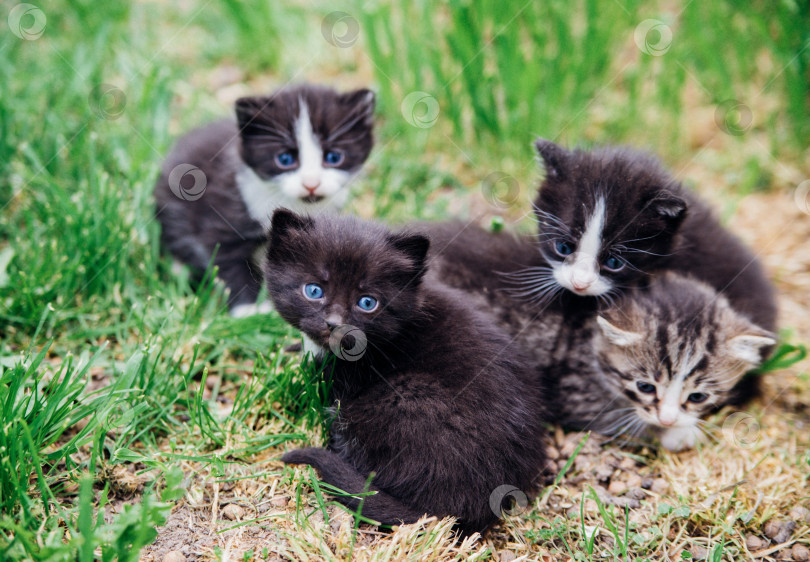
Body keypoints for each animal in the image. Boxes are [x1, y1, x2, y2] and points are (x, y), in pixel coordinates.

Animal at [153, 85, 374, 318]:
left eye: (333, 157)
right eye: (285, 159)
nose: (311, 183)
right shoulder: (219, 215)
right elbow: (227, 258)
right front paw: (250, 309)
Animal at [548, 272, 772, 450]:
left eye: (697, 397)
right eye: (645, 387)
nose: (667, 421)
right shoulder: (572, 389)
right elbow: (614, 416)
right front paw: (678, 434)